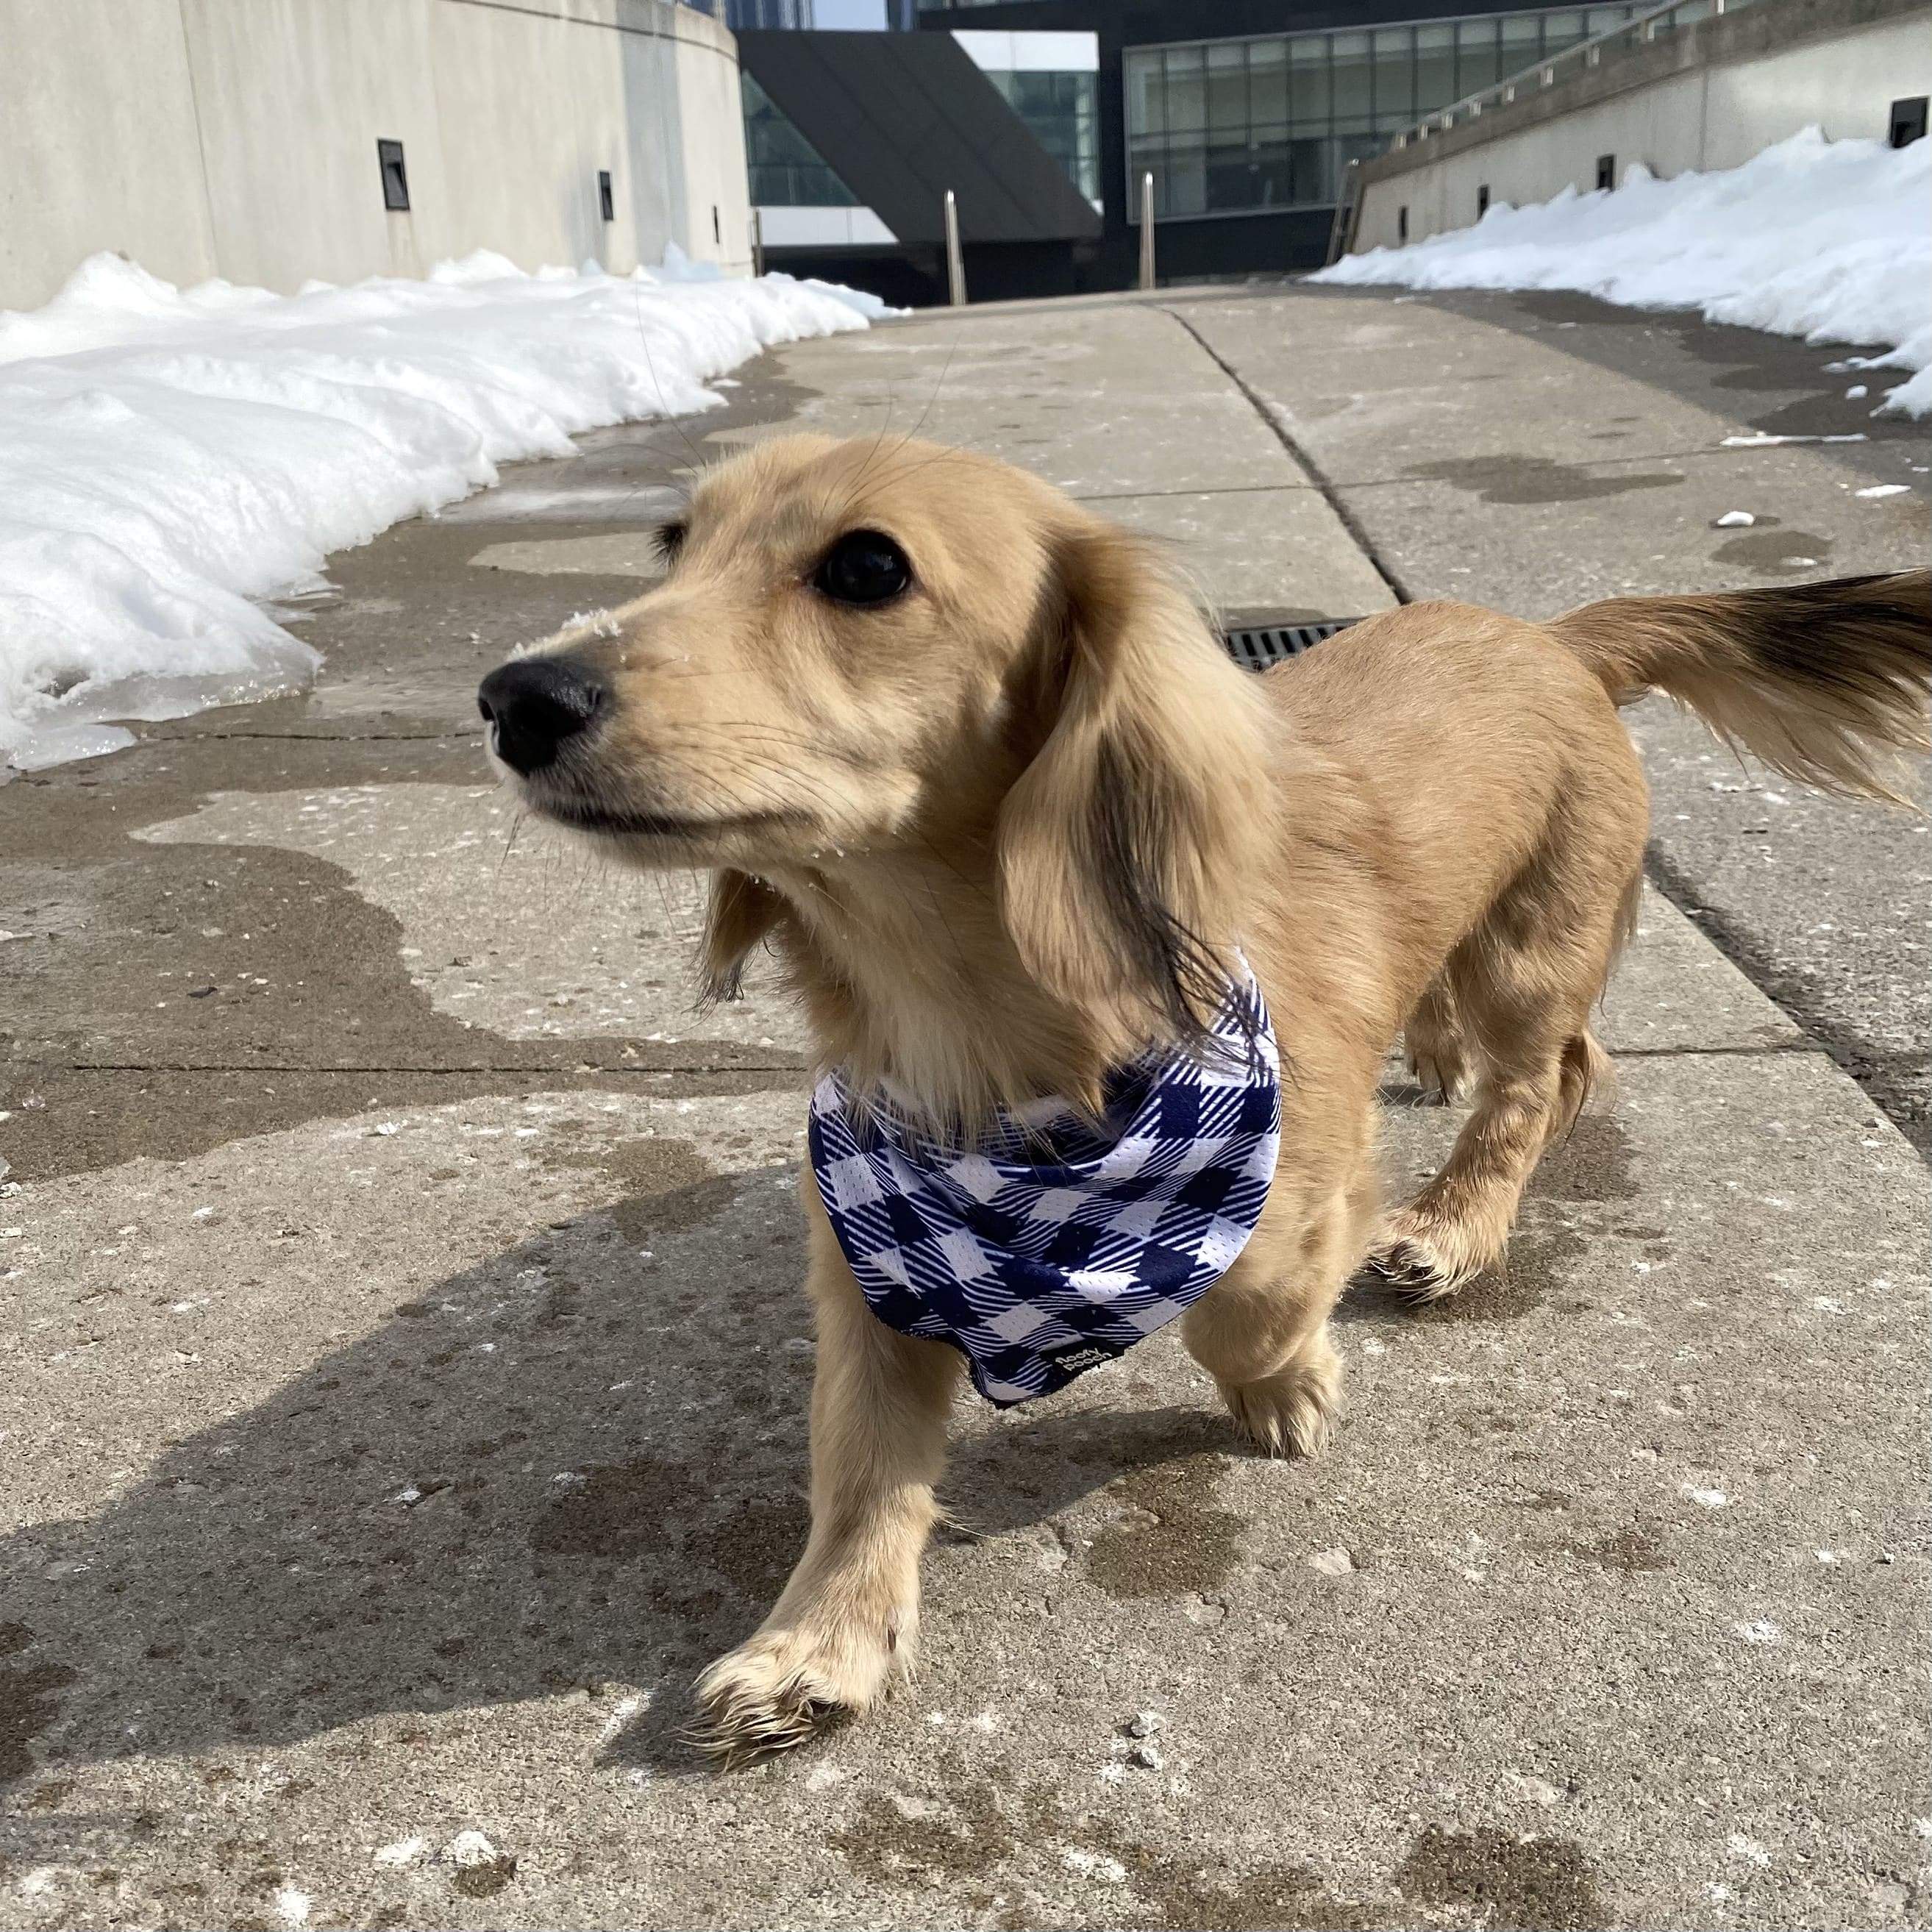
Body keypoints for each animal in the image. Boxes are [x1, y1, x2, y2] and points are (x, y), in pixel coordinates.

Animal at [471, 430, 1932, 1761]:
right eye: (673, 544)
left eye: (867, 566)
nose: (511, 697)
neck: (987, 1052)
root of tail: (1550, 637)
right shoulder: (871, 1260)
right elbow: (860, 1469)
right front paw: (819, 1640)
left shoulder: (1284, 1181)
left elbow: (1245, 1308)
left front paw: (1290, 1382)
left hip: (1530, 953)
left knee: (1550, 1077)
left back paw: (1458, 1223)